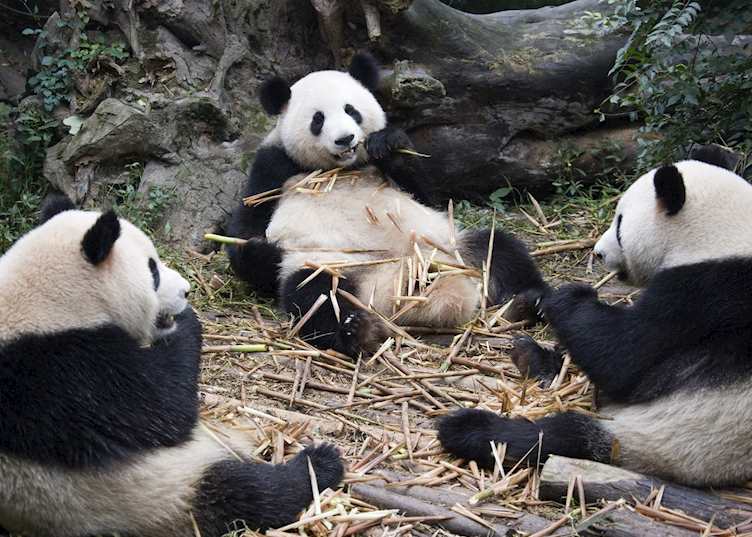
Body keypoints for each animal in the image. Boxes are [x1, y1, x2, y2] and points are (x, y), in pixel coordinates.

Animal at [0, 195, 343, 537]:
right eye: (152, 270)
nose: (186, 290)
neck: (46, 301)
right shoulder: (63, 373)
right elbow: (163, 409)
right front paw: (187, 322)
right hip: (157, 494)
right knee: (246, 492)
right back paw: (319, 464)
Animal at [226, 53, 545, 355]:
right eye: (318, 119)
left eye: (351, 110)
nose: (345, 139)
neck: (343, 169)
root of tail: (399, 292)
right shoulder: (274, 166)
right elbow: (248, 225)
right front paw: (261, 250)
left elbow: (425, 193)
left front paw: (389, 145)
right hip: (331, 267)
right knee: (315, 295)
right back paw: (357, 331)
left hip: (451, 246)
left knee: (500, 249)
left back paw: (528, 302)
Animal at [437, 156, 752, 487]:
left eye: (620, 223)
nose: (598, 253)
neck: (721, 234)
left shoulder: (702, 292)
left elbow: (621, 356)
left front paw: (569, 297)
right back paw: (532, 358)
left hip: (673, 434)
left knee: (557, 436)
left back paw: (468, 428)